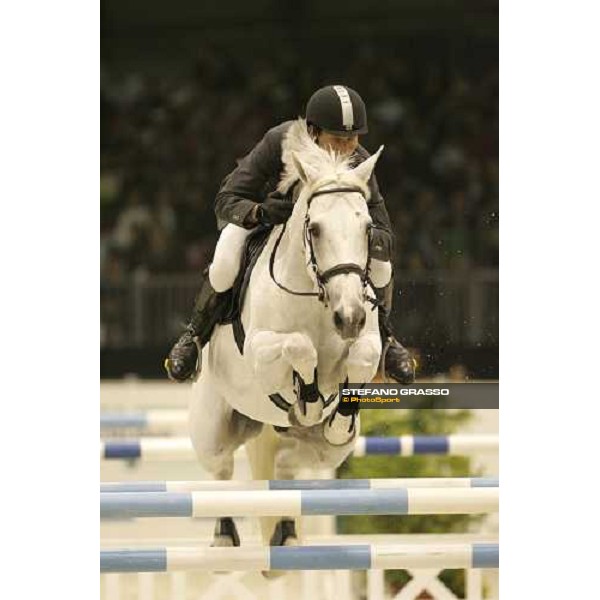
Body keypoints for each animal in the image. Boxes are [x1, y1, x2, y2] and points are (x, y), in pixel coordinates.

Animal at [188, 119, 384, 552]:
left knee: (288, 466)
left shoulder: (369, 343)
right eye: (315, 228)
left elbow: (361, 357)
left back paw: (287, 531)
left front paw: (334, 413)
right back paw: (224, 533)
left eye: (367, 228)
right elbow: (299, 346)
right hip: (211, 429)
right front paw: (308, 396)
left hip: (326, 453)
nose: (349, 317)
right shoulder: (260, 350)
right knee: (221, 470)